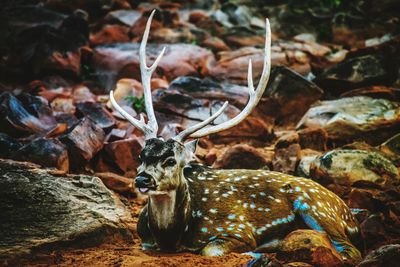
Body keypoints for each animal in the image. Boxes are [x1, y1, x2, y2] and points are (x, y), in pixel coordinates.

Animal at [108, 9, 362, 264]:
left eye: (171, 160)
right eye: (140, 156)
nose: (142, 179)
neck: (172, 237)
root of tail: (349, 214)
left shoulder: (236, 227)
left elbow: (211, 249)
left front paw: (258, 252)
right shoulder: (144, 240)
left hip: (317, 207)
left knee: (351, 251)